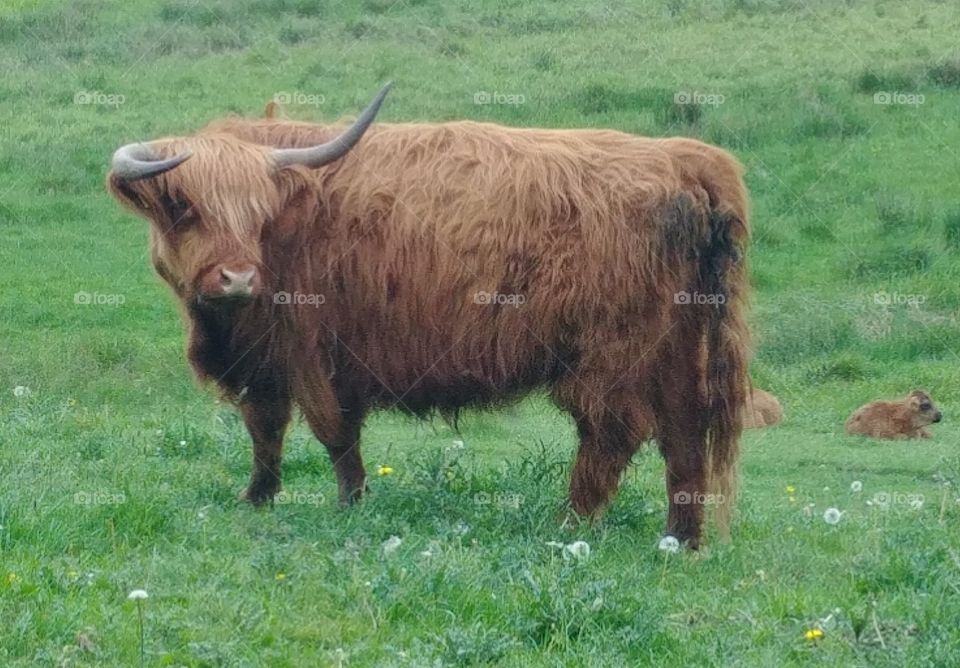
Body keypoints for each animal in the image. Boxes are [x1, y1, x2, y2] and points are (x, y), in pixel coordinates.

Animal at [106, 83, 751, 547]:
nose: (238, 277)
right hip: (676, 343)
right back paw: (681, 541)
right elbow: (266, 428)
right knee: (685, 433)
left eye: (257, 210)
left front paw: (349, 503)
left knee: (613, 431)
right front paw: (259, 497)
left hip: (610, 351)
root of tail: (684, 157)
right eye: (183, 206)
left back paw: (569, 524)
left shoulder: (310, 348)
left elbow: (331, 432)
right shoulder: (265, 356)